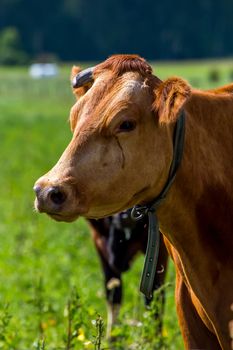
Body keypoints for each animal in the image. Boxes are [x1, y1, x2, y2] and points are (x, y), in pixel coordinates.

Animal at [88, 209, 168, 338]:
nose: (125, 215)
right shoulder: (98, 238)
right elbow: (113, 294)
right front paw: (112, 338)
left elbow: (154, 296)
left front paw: (154, 339)